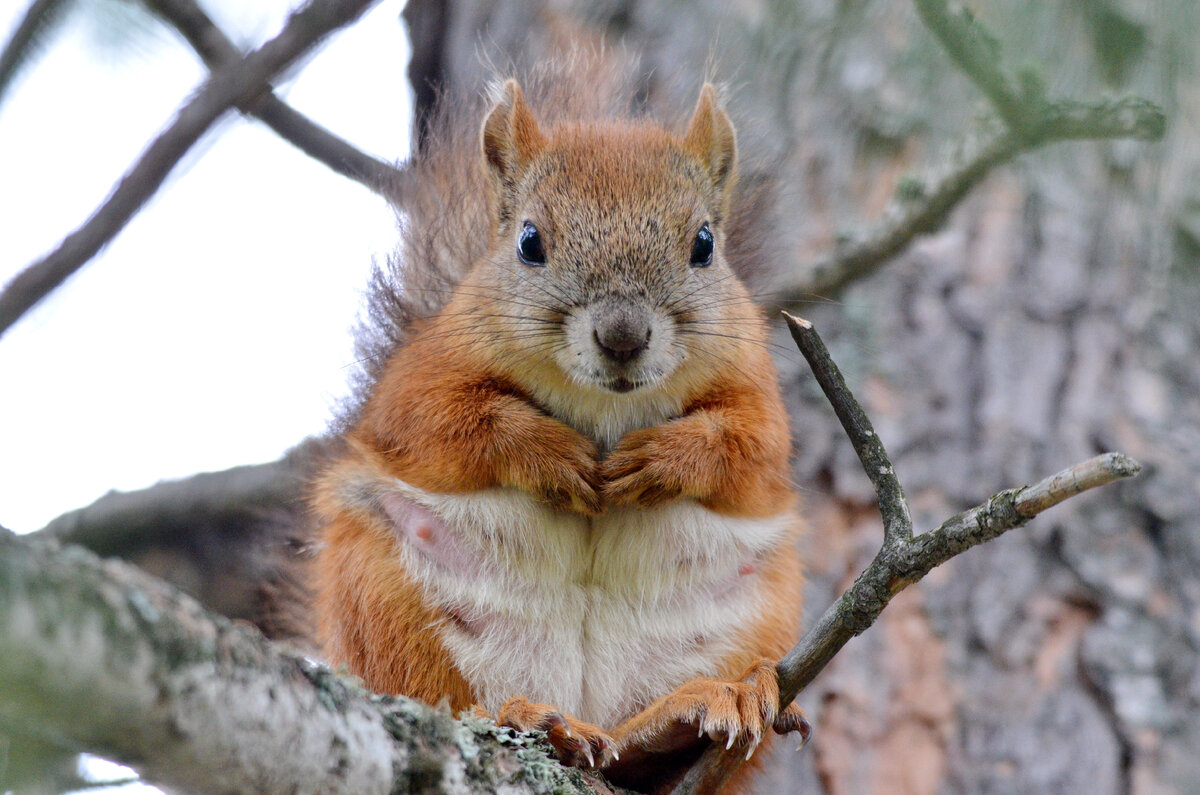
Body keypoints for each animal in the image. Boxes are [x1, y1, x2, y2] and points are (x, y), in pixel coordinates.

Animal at [314, 63, 811, 795]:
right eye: (529, 242)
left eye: (704, 245)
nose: (622, 337)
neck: (601, 405)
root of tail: (587, 704)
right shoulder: (421, 380)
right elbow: (448, 424)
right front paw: (549, 452)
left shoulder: (759, 394)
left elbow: (746, 450)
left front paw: (662, 458)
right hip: (382, 601)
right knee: (446, 701)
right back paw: (537, 720)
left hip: (761, 614)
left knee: (638, 760)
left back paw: (694, 710)